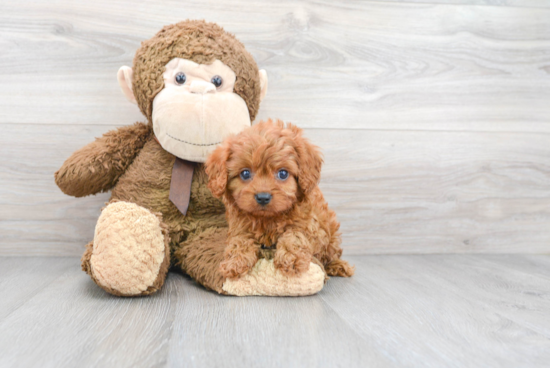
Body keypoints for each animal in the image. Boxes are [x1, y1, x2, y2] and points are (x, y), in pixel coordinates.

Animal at [205, 118, 356, 278]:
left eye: (283, 173)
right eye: (245, 174)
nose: (263, 197)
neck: (268, 218)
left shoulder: (311, 226)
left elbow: (295, 235)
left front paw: (291, 258)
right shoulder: (240, 226)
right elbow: (239, 240)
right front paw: (235, 260)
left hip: (331, 233)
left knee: (331, 254)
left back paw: (338, 265)